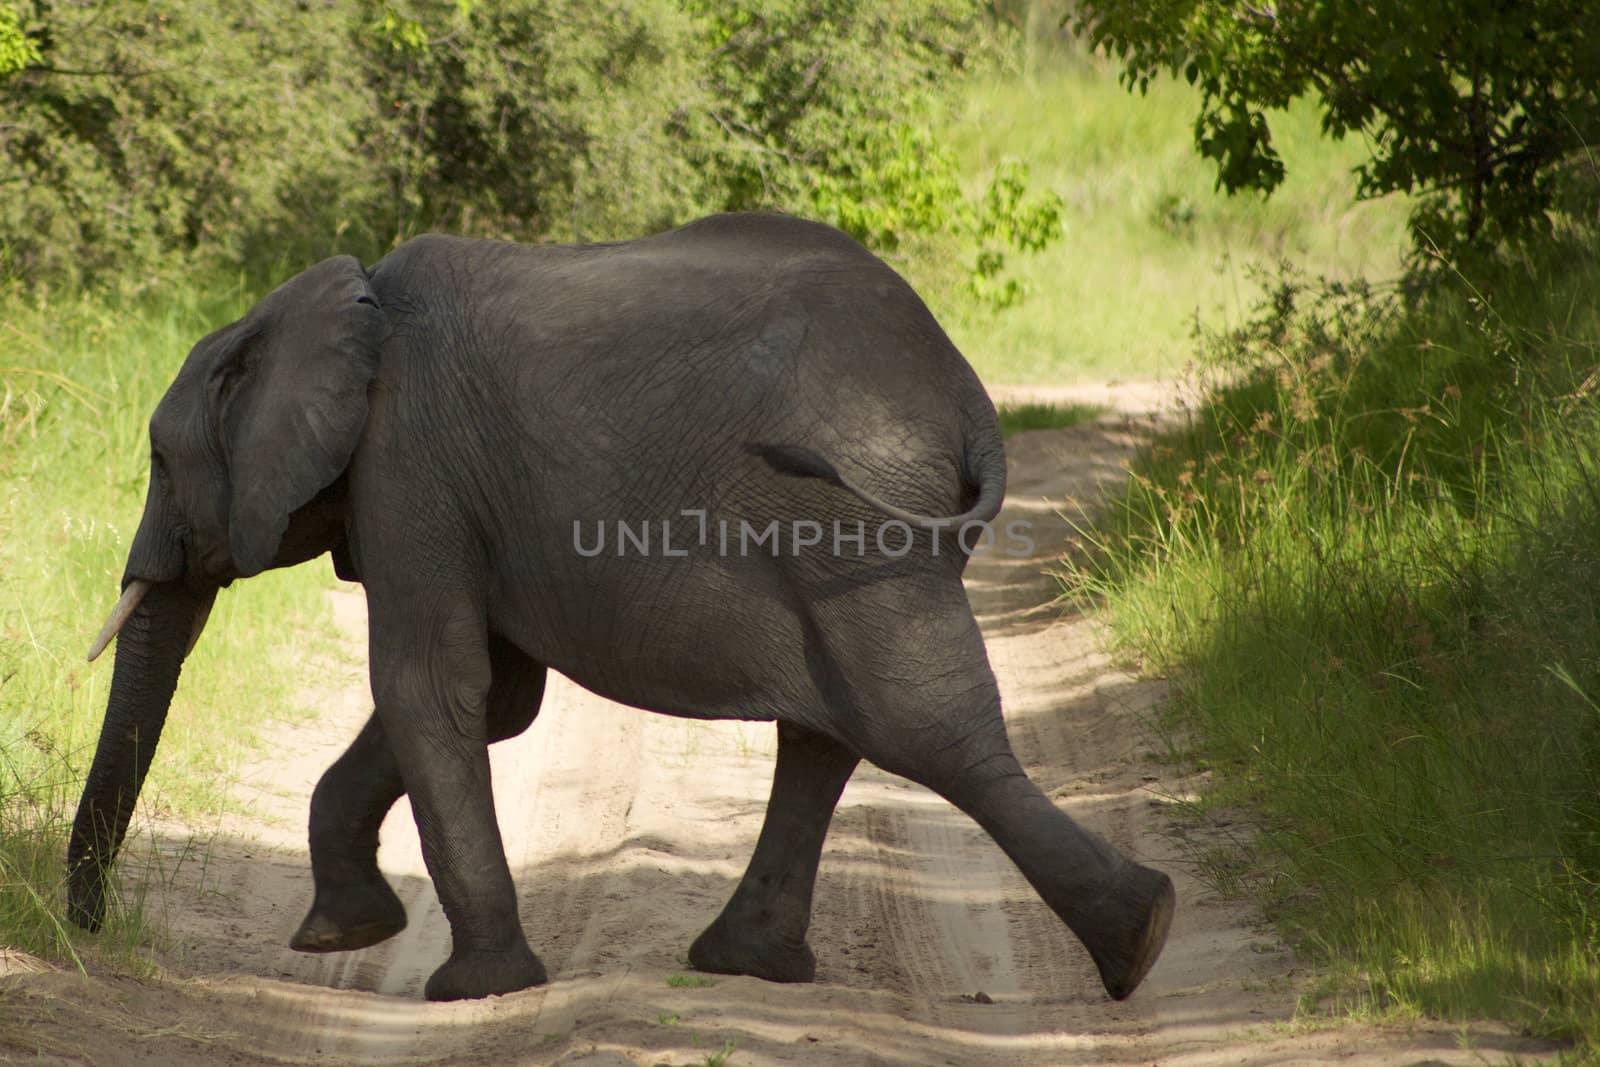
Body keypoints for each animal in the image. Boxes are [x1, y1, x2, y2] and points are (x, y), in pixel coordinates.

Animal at [65, 214, 1177, 1004]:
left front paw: (473, 988)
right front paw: (343, 934)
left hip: (854, 517)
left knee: (917, 722)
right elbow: (497, 699)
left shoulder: (409, 462)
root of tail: (967, 395)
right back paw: (749, 963)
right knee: (838, 724)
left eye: (158, 460)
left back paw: (1141, 937)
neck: (336, 303)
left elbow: (433, 687)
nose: (83, 926)